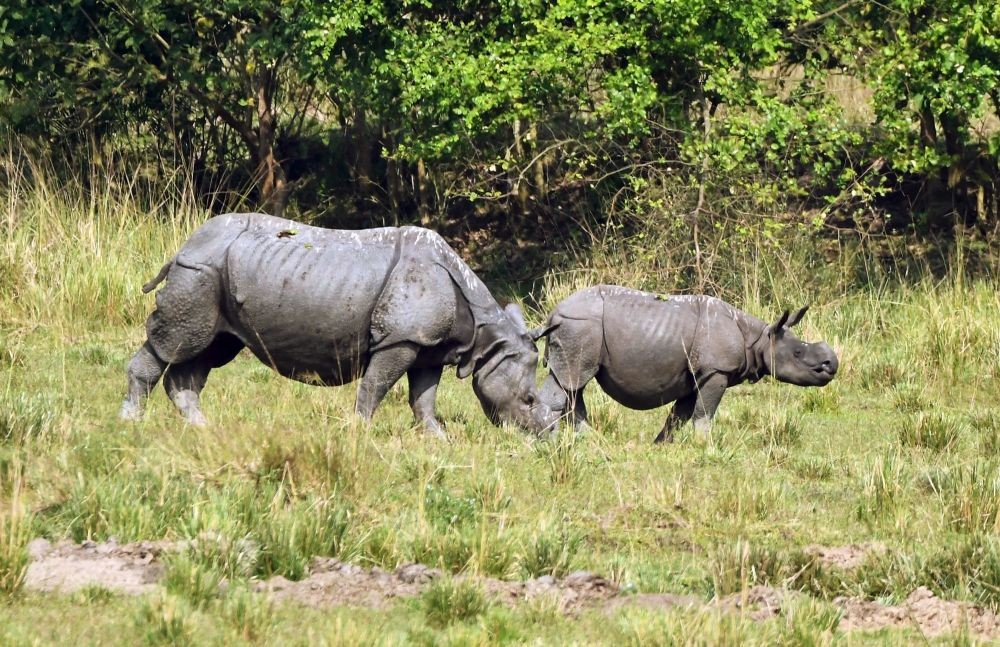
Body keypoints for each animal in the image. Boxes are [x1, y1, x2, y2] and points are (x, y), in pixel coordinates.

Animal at [120, 213, 557, 436]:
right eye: (528, 400)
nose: (548, 434)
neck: (485, 333)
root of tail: (186, 243)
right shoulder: (400, 340)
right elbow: (376, 386)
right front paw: (359, 432)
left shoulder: (427, 345)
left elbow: (424, 396)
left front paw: (437, 438)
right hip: (199, 272)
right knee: (177, 342)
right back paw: (131, 423)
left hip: (216, 274)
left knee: (209, 349)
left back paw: (203, 428)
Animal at [533, 285, 838, 442]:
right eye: (797, 354)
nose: (831, 364)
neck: (759, 338)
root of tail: (554, 312)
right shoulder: (716, 370)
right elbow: (704, 413)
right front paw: (705, 446)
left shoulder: (696, 375)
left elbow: (678, 416)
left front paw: (660, 446)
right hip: (580, 327)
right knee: (571, 380)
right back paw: (547, 438)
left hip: (578, 328)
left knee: (572, 386)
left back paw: (590, 440)